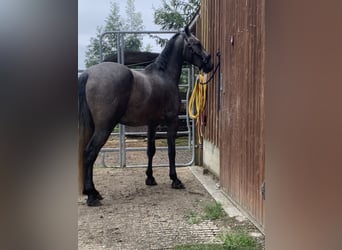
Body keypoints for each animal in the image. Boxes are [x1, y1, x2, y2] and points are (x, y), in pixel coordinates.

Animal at [79, 26, 214, 207]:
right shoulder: (171, 121)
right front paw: (175, 180)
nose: (209, 64)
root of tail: (88, 74)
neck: (164, 75)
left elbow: (150, 150)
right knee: (90, 153)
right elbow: (171, 151)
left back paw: (93, 192)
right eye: (197, 44)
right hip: (104, 127)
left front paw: (150, 178)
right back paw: (92, 196)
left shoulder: (152, 123)